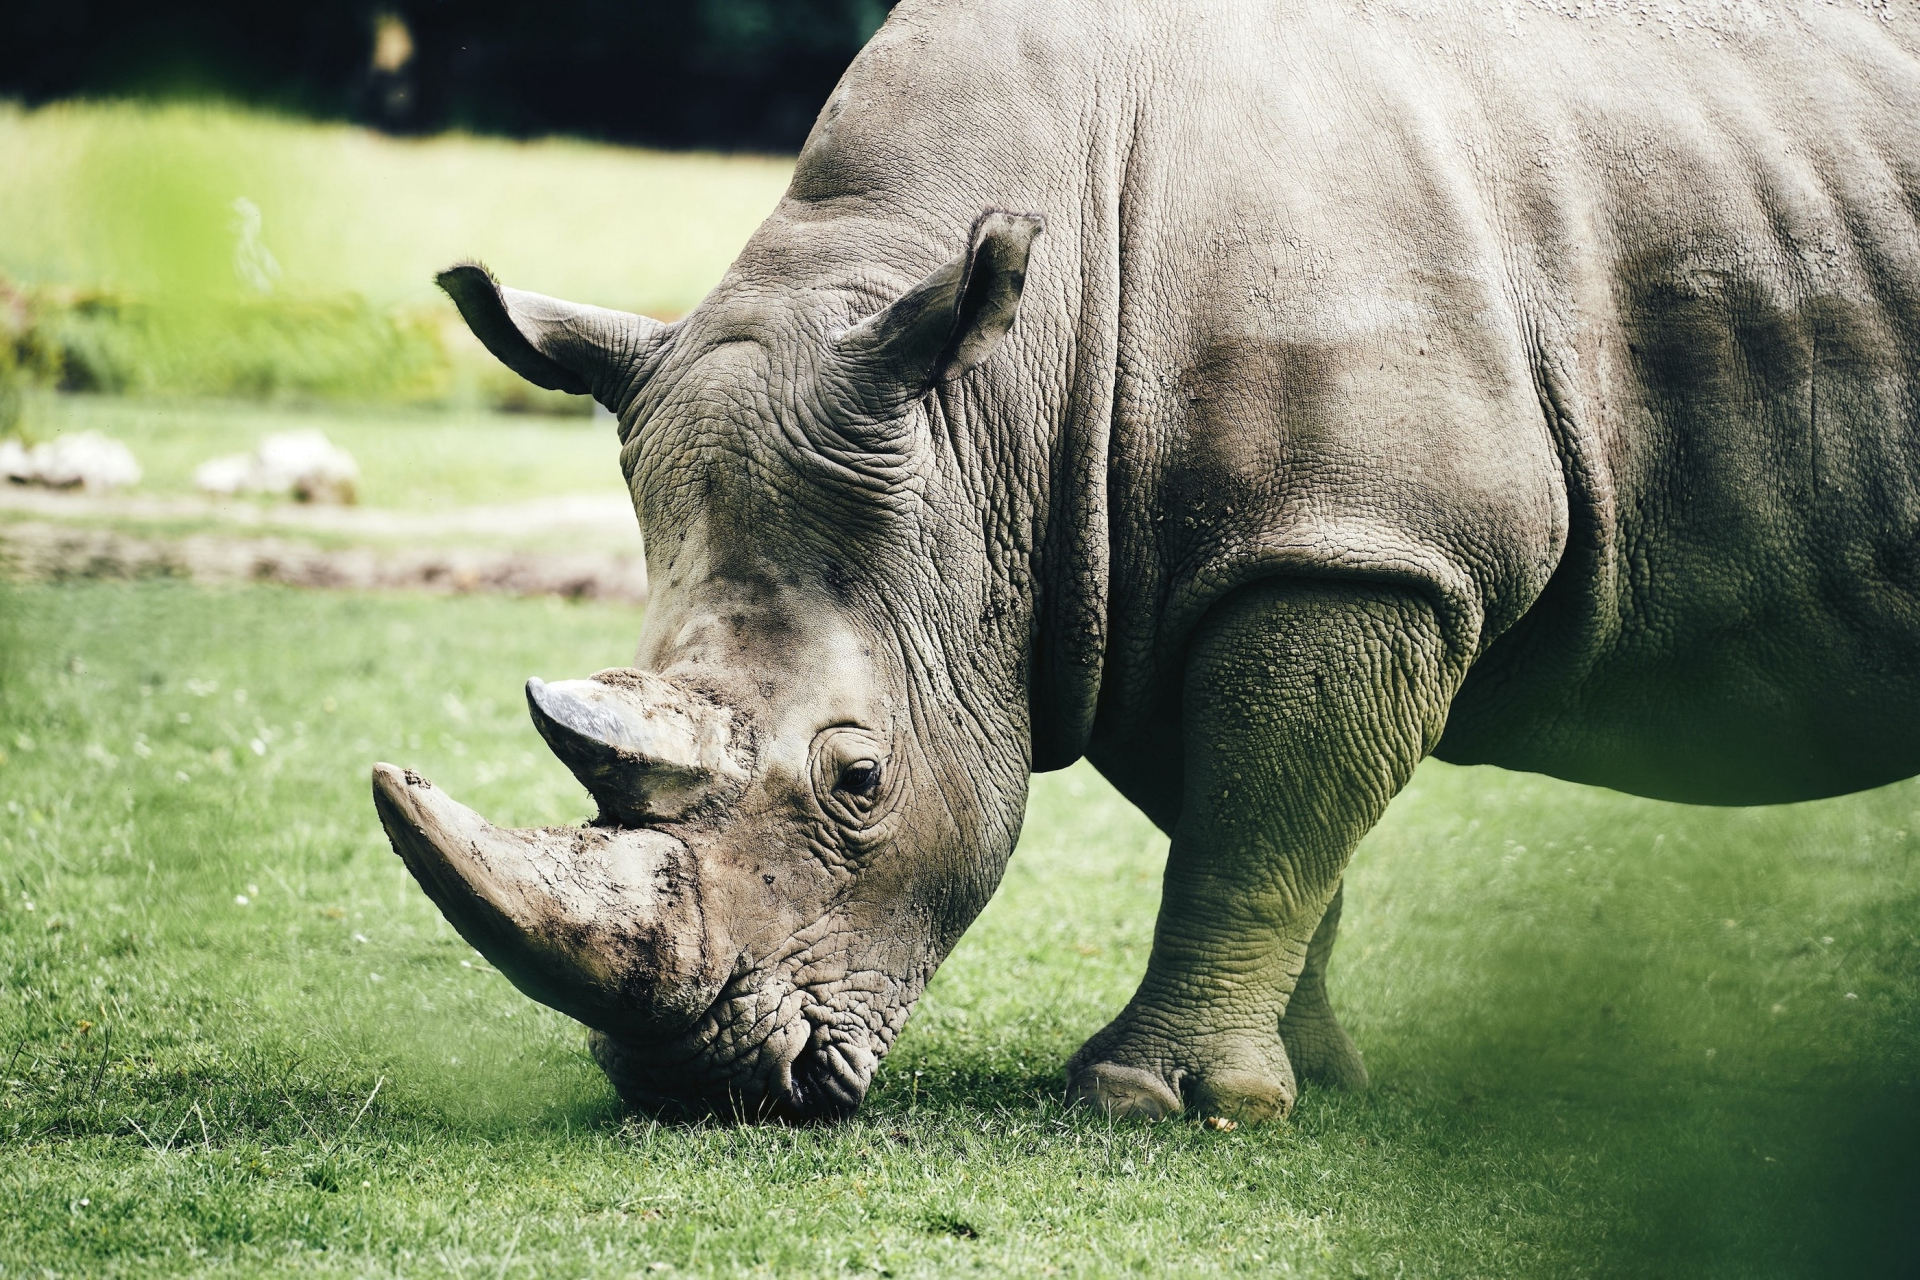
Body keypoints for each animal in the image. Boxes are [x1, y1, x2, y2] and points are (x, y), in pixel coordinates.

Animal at [372, 0, 1920, 1123]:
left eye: (859, 780)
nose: (703, 1086)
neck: (990, 411)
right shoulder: (1117, 570)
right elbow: (1257, 821)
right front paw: (1294, 1080)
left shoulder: (1350, 547)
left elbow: (1261, 825)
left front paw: (1153, 1099)